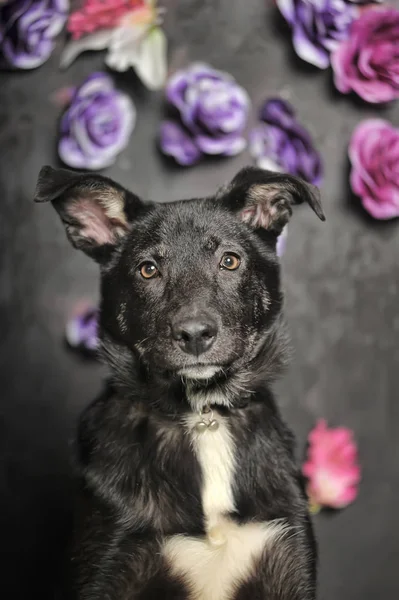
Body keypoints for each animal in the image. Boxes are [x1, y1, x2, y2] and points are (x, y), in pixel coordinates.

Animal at [33, 166, 324, 600]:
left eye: (230, 261)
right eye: (148, 269)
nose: (195, 334)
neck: (202, 415)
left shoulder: (288, 563)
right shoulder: (108, 565)